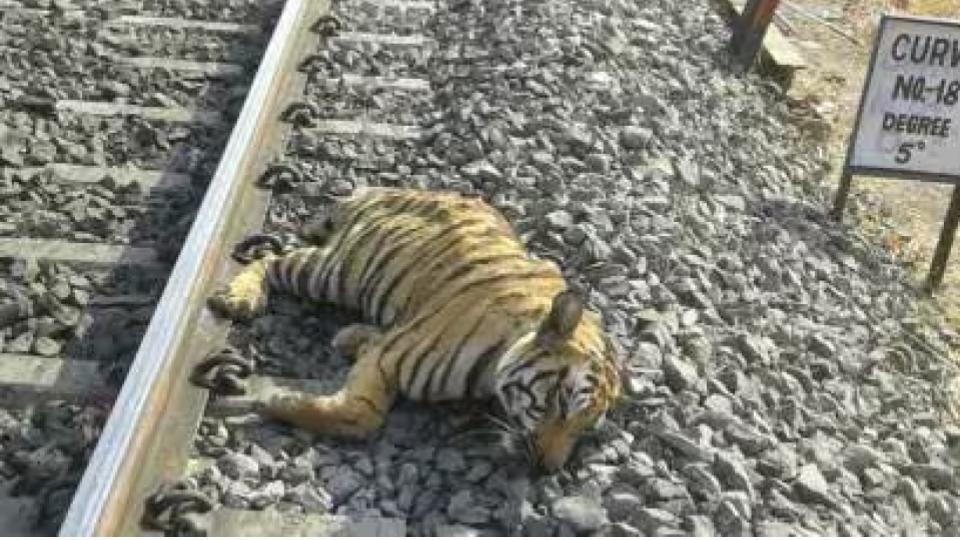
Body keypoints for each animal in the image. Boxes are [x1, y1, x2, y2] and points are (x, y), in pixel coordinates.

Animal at [208, 187, 622, 471]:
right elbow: (360, 414)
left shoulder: (391, 344)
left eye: (586, 429)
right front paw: (279, 401)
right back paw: (240, 297)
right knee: (271, 259)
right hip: (335, 272)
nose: (546, 470)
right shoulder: (389, 358)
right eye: (561, 403)